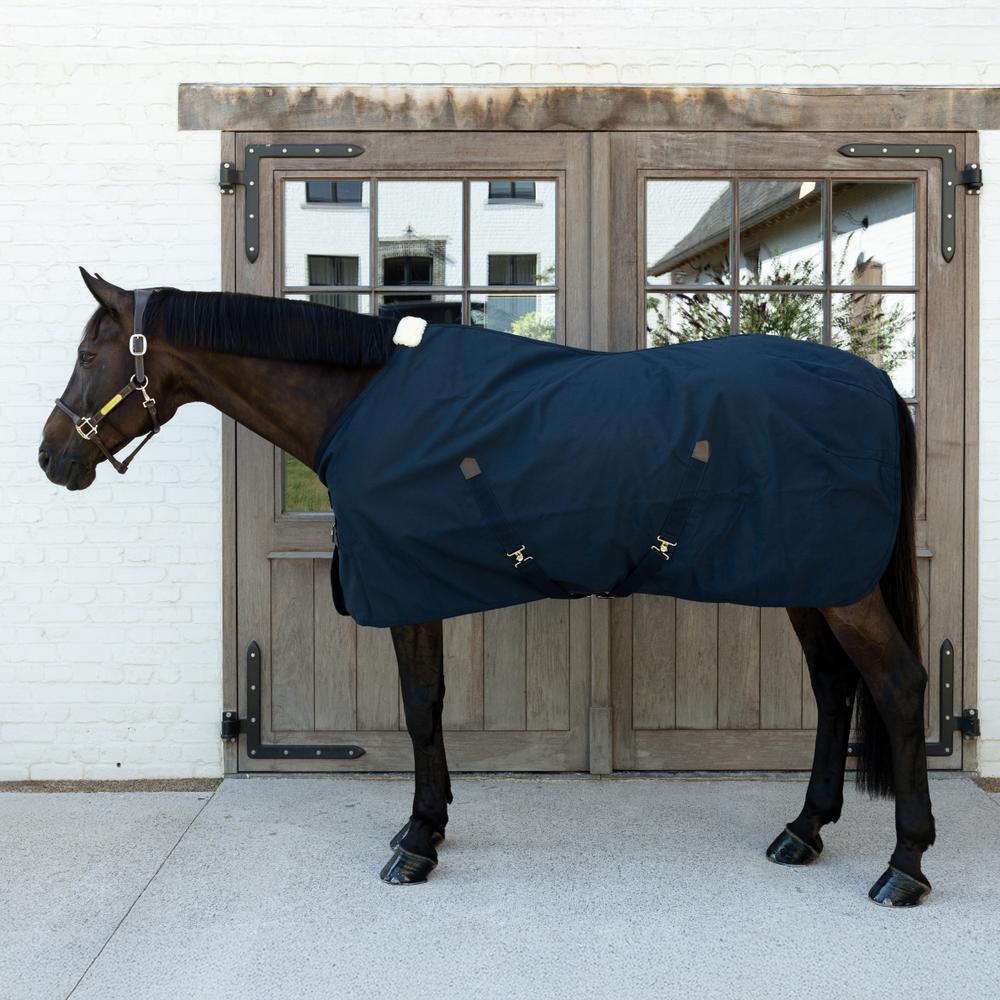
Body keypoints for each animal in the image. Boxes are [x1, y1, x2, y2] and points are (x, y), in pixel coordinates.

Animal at [39, 269, 935, 906]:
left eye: (87, 356)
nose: (53, 457)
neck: (362, 402)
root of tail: (877, 386)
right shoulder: (419, 585)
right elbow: (431, 704)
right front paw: (428, 827)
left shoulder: (407, 587)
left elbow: (420, 705)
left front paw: (415, 844)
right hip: (808, 578)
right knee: (833, 688)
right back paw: (805, 831)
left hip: (840, 588)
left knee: (896, 684)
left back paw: (905, 866)